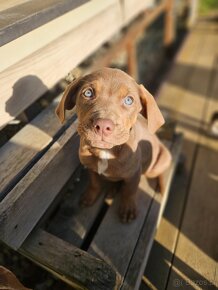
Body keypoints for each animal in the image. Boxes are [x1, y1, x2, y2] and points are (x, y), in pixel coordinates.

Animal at [55, 67, 171, 222]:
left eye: (129, 100)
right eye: (88, 93)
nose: (103, 126)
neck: (105, 151)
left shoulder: (134, 173)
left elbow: (129, 191)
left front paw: (127, 209)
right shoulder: (91, 168)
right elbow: (94, 183)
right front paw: (90, 196)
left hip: (160, 161)